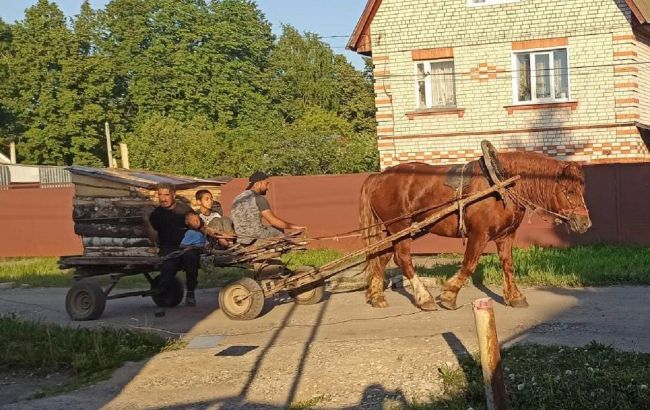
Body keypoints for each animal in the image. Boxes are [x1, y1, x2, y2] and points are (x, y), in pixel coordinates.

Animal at [356, 151, 588, 310]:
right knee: (403, 259)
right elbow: (469, 265)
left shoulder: (506, 235)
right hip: (400, 227)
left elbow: (508, 266)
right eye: (569, 191)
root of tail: (378, 177)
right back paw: (424, 298)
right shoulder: (479, 234)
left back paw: (376, 296)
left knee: (381, 257)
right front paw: (448, 295)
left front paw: (514, 297)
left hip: (396, 230)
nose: (585, 223)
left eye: (581, 190)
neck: (500, 184)